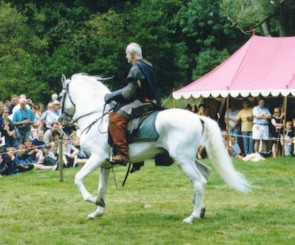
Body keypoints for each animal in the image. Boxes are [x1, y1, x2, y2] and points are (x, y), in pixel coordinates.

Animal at [59, 72, 252, 224]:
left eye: (61, 95)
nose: (62, 120)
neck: (95, 116)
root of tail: (198, 118)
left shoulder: (97, 157)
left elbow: (78, 178)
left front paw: (93, 200)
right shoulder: (105, 163)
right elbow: (102, 189)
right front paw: (98, 209)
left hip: (182, 159)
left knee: (199, 182)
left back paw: (193, 216)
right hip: (188, 159)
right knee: (204, 174)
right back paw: (200, 207)